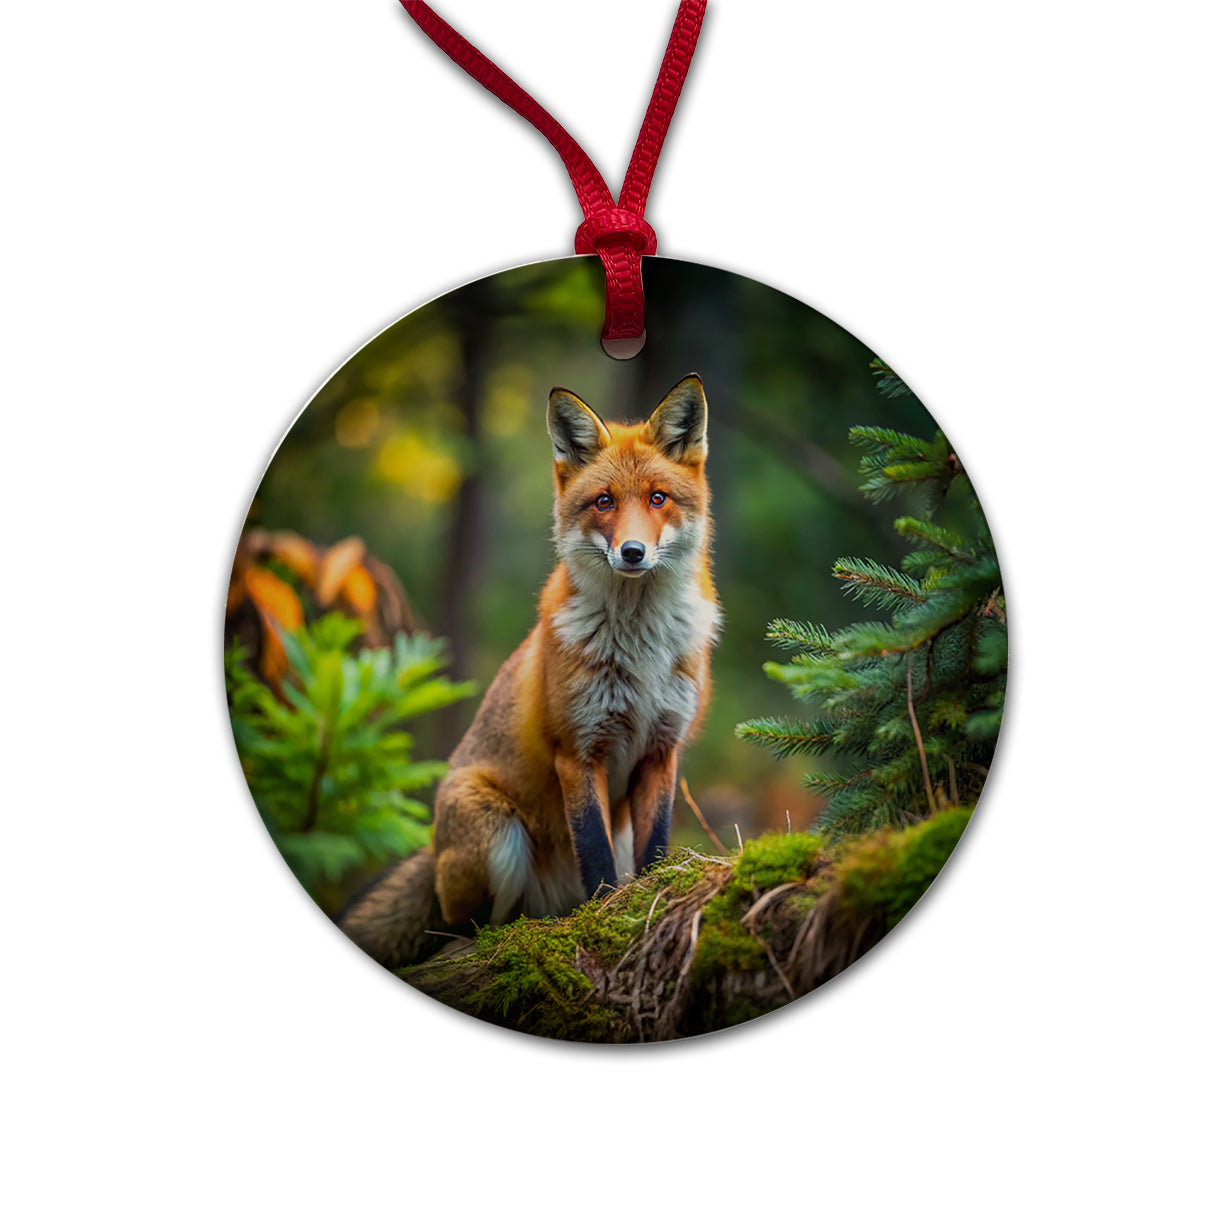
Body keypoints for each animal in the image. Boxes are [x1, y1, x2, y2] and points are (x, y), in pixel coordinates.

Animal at [337, 374, 720, 967]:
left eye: (658, 498)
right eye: (604, 502)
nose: (632, 552)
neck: (640, 652)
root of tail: (433, 849)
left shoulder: (662, 748)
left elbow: (654, 849)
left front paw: (651, 899)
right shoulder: (577, 749)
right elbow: (594, 854)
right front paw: (607, 914)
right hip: (496, 831)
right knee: (465, 930)